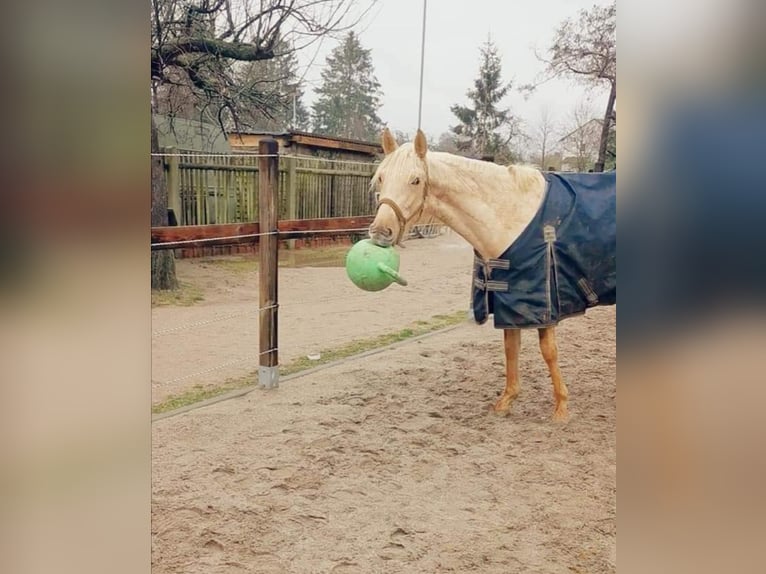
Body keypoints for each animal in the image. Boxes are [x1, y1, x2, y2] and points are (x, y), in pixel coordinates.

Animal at [368, 127, 616, 424]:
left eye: (415, 180)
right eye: (381, 177)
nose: (380, 232)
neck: (509, 216)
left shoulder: (543, 304)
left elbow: (549, 352)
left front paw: (561, 408)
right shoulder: (510, 302)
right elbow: (510, 347)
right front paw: (506, 401)